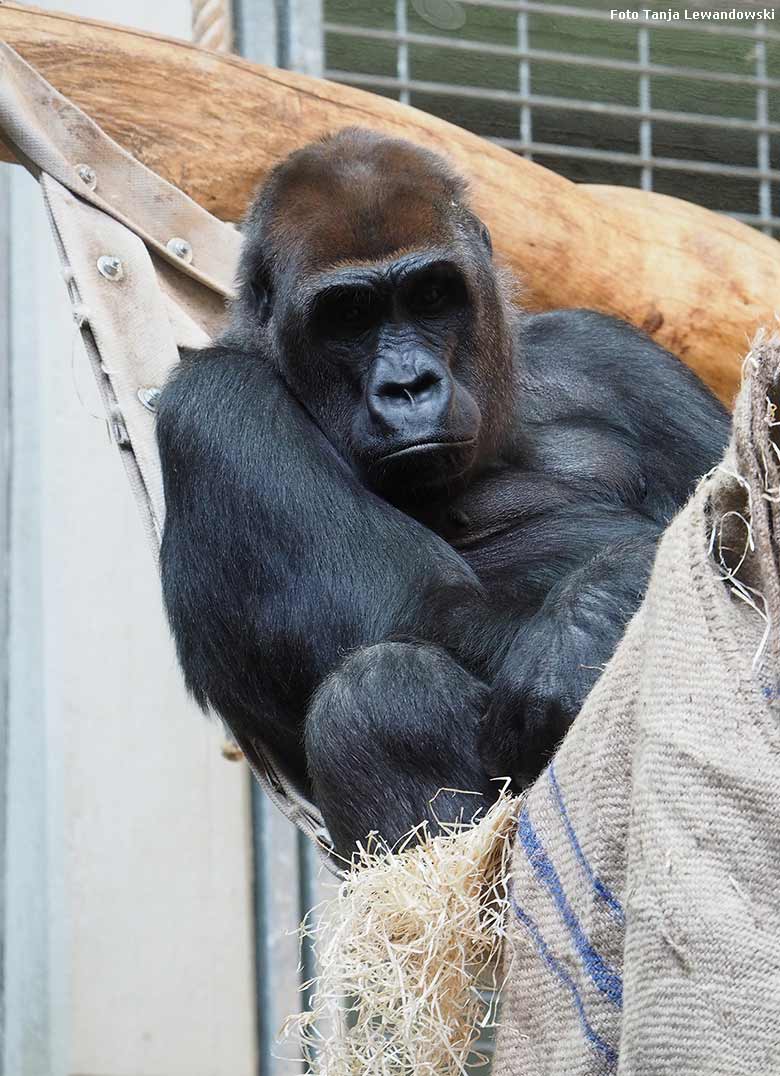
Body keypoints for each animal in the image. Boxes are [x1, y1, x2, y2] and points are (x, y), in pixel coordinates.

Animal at [157, 128, 731, 856]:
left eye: (431, 295)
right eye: (348, 314)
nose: (409, 386)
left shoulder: (613, 353)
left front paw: (594, 608)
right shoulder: (215, 407)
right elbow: (417, 607)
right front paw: (586, 624)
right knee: (377, 692)